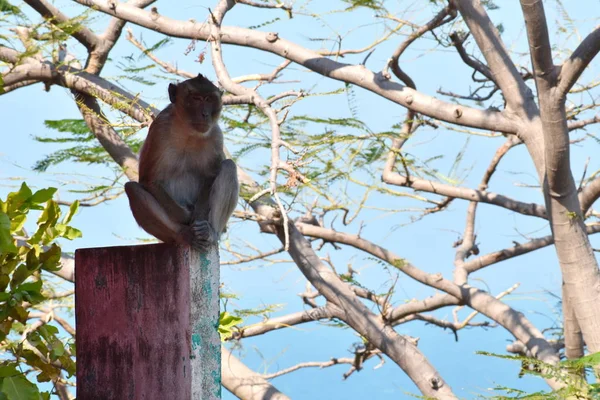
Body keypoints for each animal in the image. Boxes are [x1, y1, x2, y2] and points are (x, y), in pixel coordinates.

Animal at [125, 73, 239, 252]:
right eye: (196, 98)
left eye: (209, 99)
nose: (205, 114)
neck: (188, 131)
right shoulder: (160, 129)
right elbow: (150, 180)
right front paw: (187, 216)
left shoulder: (216, 135)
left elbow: (211, 176)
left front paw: (198, 218)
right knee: (132, 189)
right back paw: (184, 234)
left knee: (229, 167)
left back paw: (210, 233)